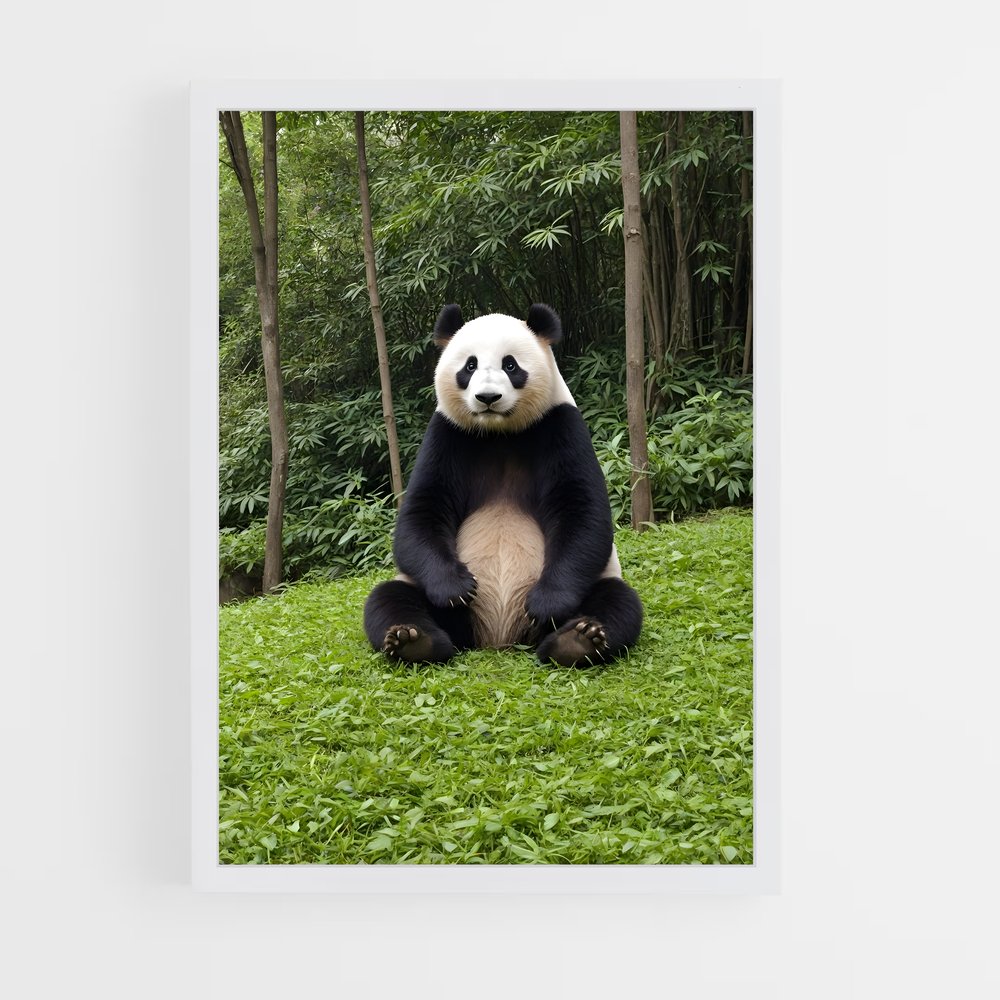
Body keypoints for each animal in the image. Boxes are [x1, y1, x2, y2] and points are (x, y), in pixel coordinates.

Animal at [363, 303, 643, 667]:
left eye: (510, 365)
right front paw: (455, 588)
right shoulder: (447, 433)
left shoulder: (560, 424)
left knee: (618, 600)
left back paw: (576, 640)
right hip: (436, 605)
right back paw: (413, 639)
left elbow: (582, 512)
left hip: (597, 583)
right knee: (389, 598)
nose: (488, 397)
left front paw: (547, 604)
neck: (499, 433)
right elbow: (422, 511)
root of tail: (497, 638)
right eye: (470, 365)